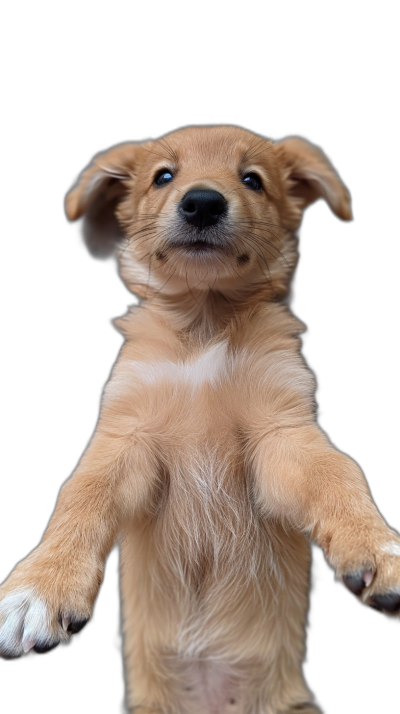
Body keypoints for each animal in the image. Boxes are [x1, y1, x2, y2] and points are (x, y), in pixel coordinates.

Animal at [0, 125, 400, 708]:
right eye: (163, 176)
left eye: (252, 179)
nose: (204, 202)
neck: (204, 325)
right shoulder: (125, 435)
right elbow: (79, 498)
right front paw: (39, 587)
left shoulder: (283, 433)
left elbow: (339, 475)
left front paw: (379, 547)